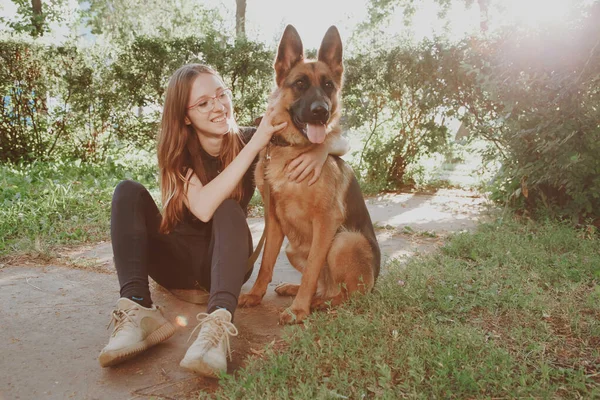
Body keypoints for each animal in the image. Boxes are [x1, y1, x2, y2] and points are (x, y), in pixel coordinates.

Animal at [238, 25, 380, 324]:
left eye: (328, 86)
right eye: (300, 83)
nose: (321, 112)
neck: (290, 149)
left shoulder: (326, 220)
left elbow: (314, 267)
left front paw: (298, 310)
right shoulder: (273, 219)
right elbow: (265, 263)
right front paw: (256, 296)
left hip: (344, 241)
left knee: (345, 295)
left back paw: (316, 303)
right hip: (293, 248)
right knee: (323, 286)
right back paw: (299, 290)